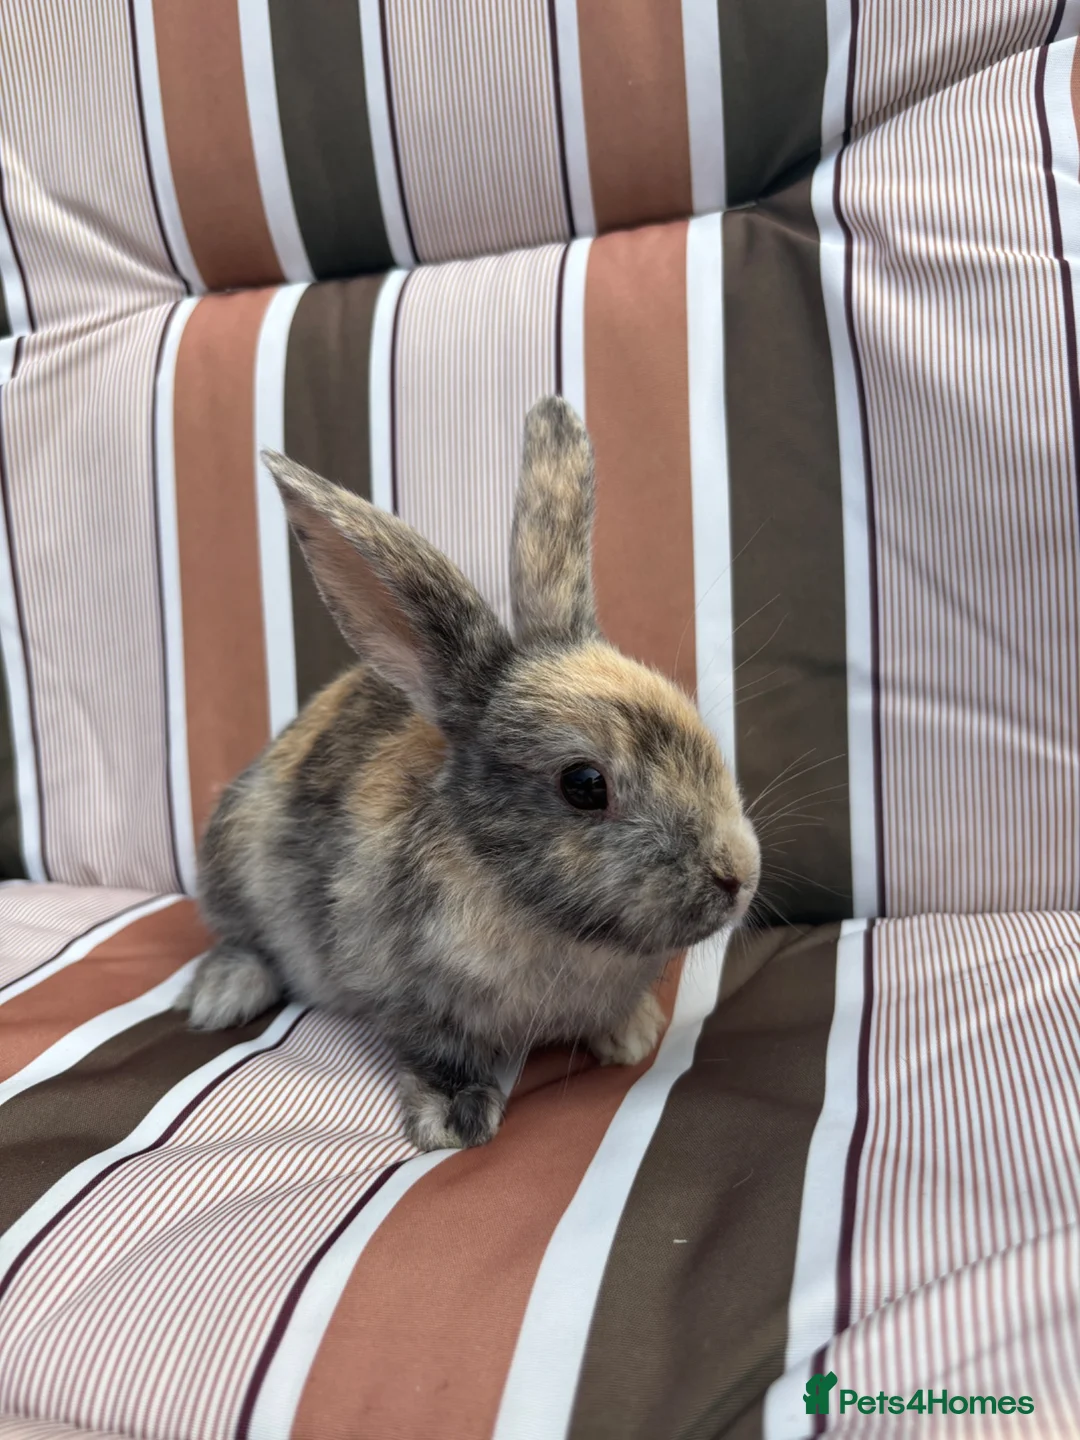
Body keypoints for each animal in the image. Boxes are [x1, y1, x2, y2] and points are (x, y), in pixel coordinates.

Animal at [181, 396, 760, 1151]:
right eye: (584, 784)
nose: (738, 875)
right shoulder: (402, 987)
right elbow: (438, 1050)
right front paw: (453, 1122)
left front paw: (630, 1038)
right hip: (235, 863)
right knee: (241, 937)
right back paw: (220, 998)